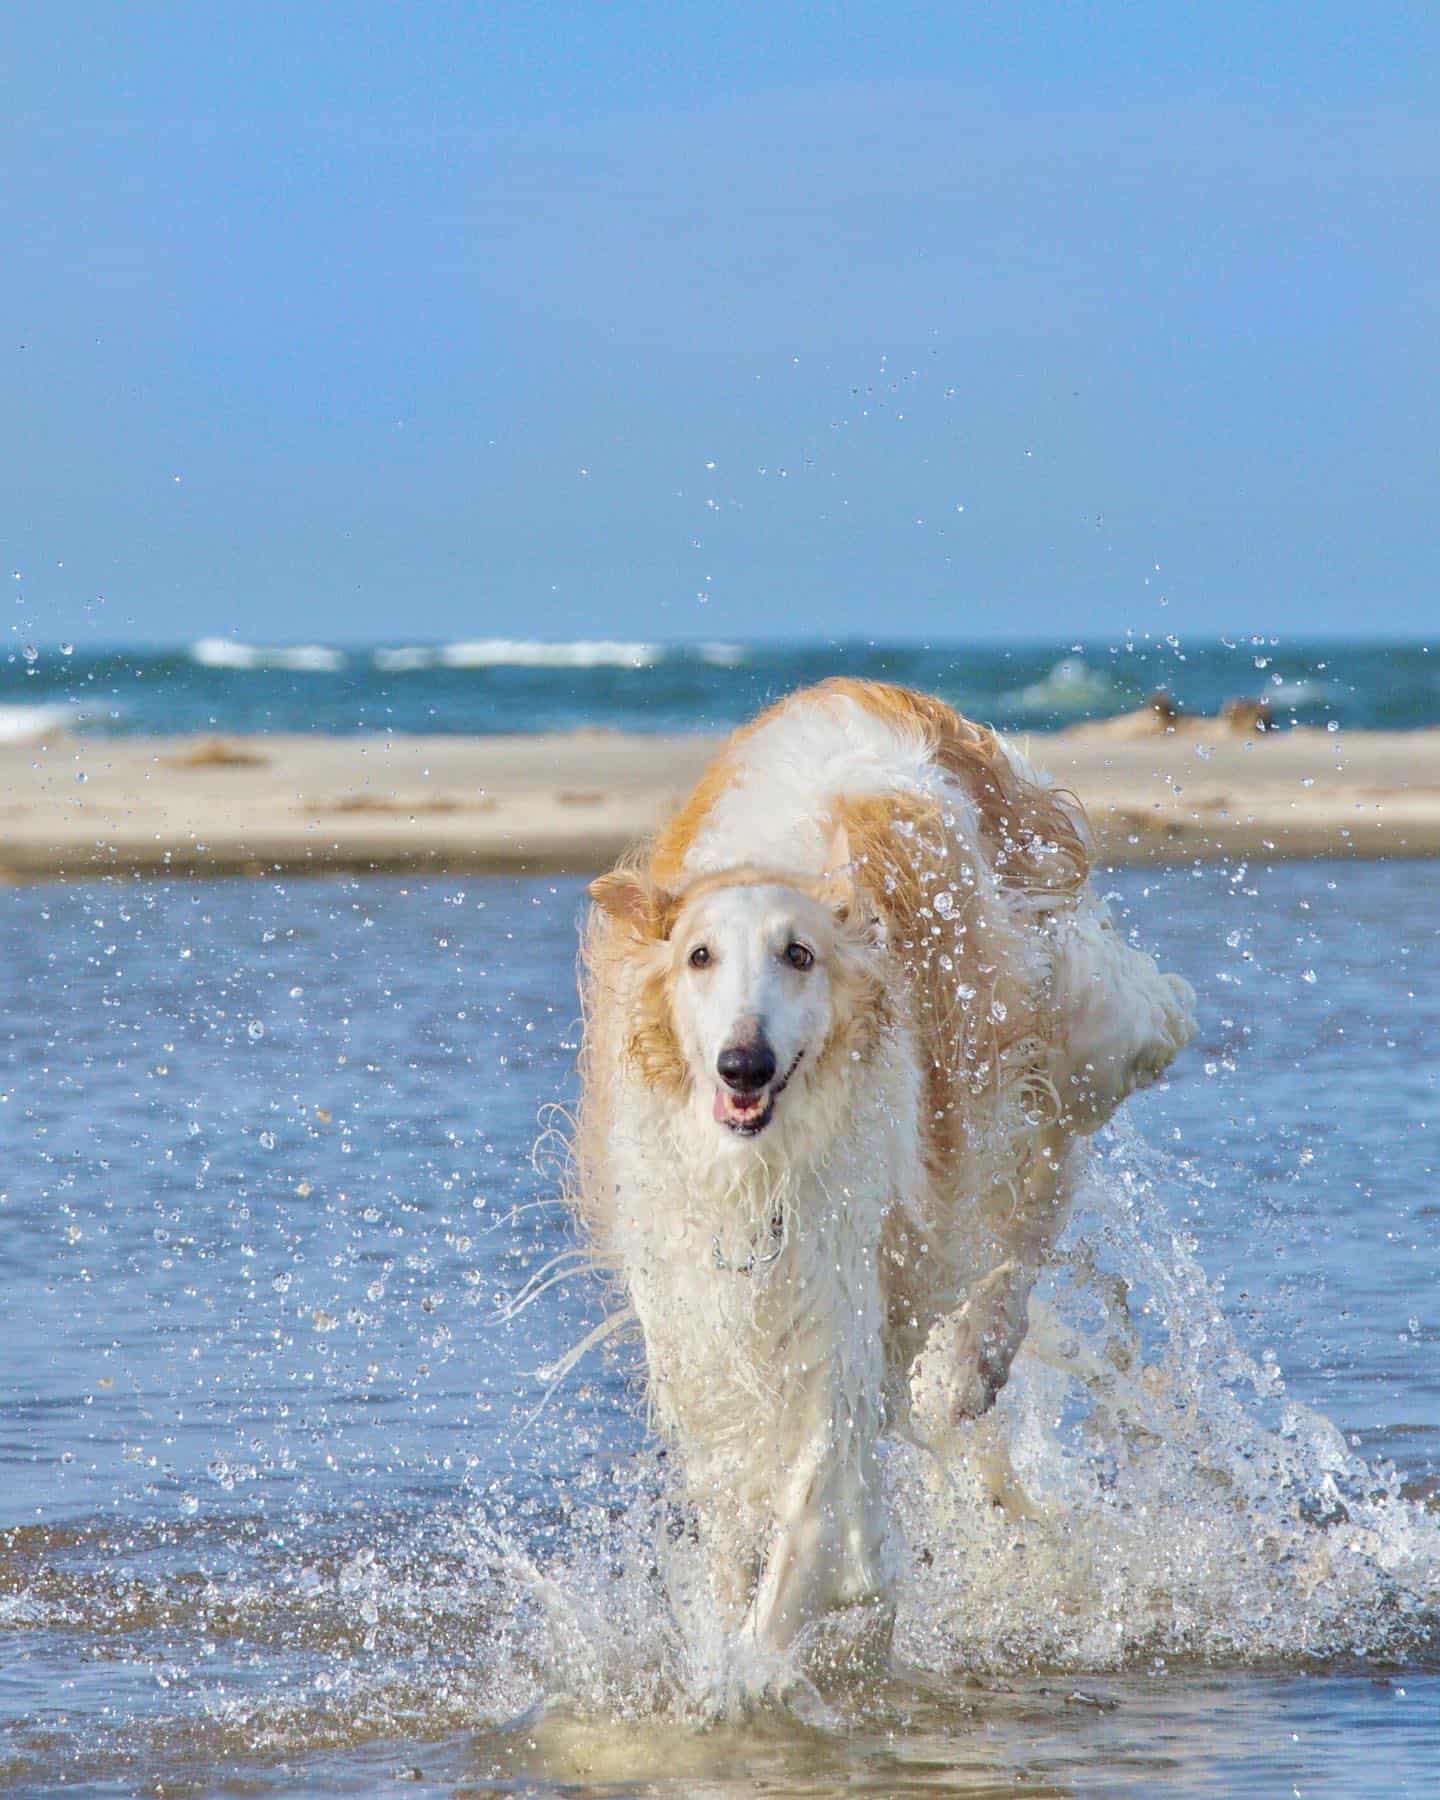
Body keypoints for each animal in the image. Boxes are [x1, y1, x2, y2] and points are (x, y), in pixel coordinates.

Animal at [572, 680, 1195, 1663]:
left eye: (799, 955)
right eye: (699, 957)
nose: (742, 1067)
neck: (763, 1168)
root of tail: (876, 692)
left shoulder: (840, 1291)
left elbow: (809, 1526)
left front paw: (750, 1674)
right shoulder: (702, 1314)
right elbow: (733, 1517)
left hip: (1076, 1017)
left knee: (1067, 1142)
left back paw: (977, 1355)